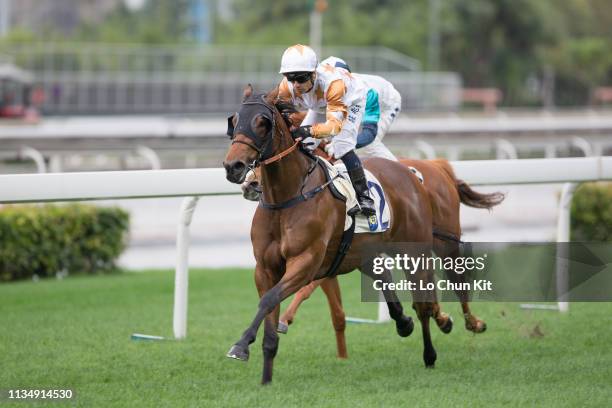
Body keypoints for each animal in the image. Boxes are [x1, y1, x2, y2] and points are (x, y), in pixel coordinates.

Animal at [222, 84, 494, 384]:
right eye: (234, 121)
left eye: (262, 123)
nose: (234, 167)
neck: (288, 198)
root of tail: (422, 171)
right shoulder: (267, 268)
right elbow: (269, 307)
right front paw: (265, 374)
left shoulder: (306, 262)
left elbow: (272, 299)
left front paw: (241, 344)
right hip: (364, 253)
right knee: (389, 280)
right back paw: (409, 323)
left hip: (426, 247)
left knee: (434, 295)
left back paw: (441, 344)